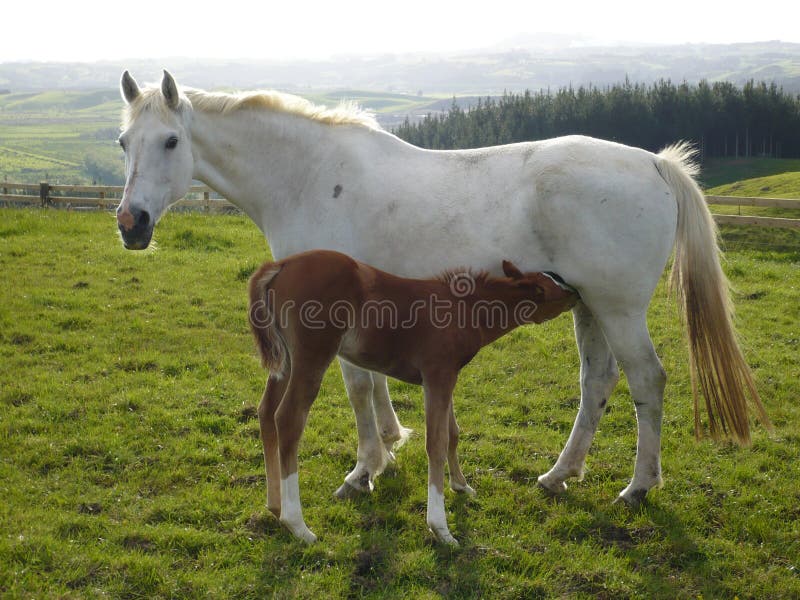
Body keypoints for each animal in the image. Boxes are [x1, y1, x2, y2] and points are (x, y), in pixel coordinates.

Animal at [247, 248, 580, 544]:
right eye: (558, 287)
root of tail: (279, 265)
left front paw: (461, 486)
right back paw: (297, 525)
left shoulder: (446, 377)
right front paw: (441, 528)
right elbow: (436, 442)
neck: (464, 309)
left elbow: (453, 432)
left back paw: (274, 506)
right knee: (288, 418)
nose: (578, 292)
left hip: (285, 363)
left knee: (266, 412)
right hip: (312, 356)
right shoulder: (437, 375)